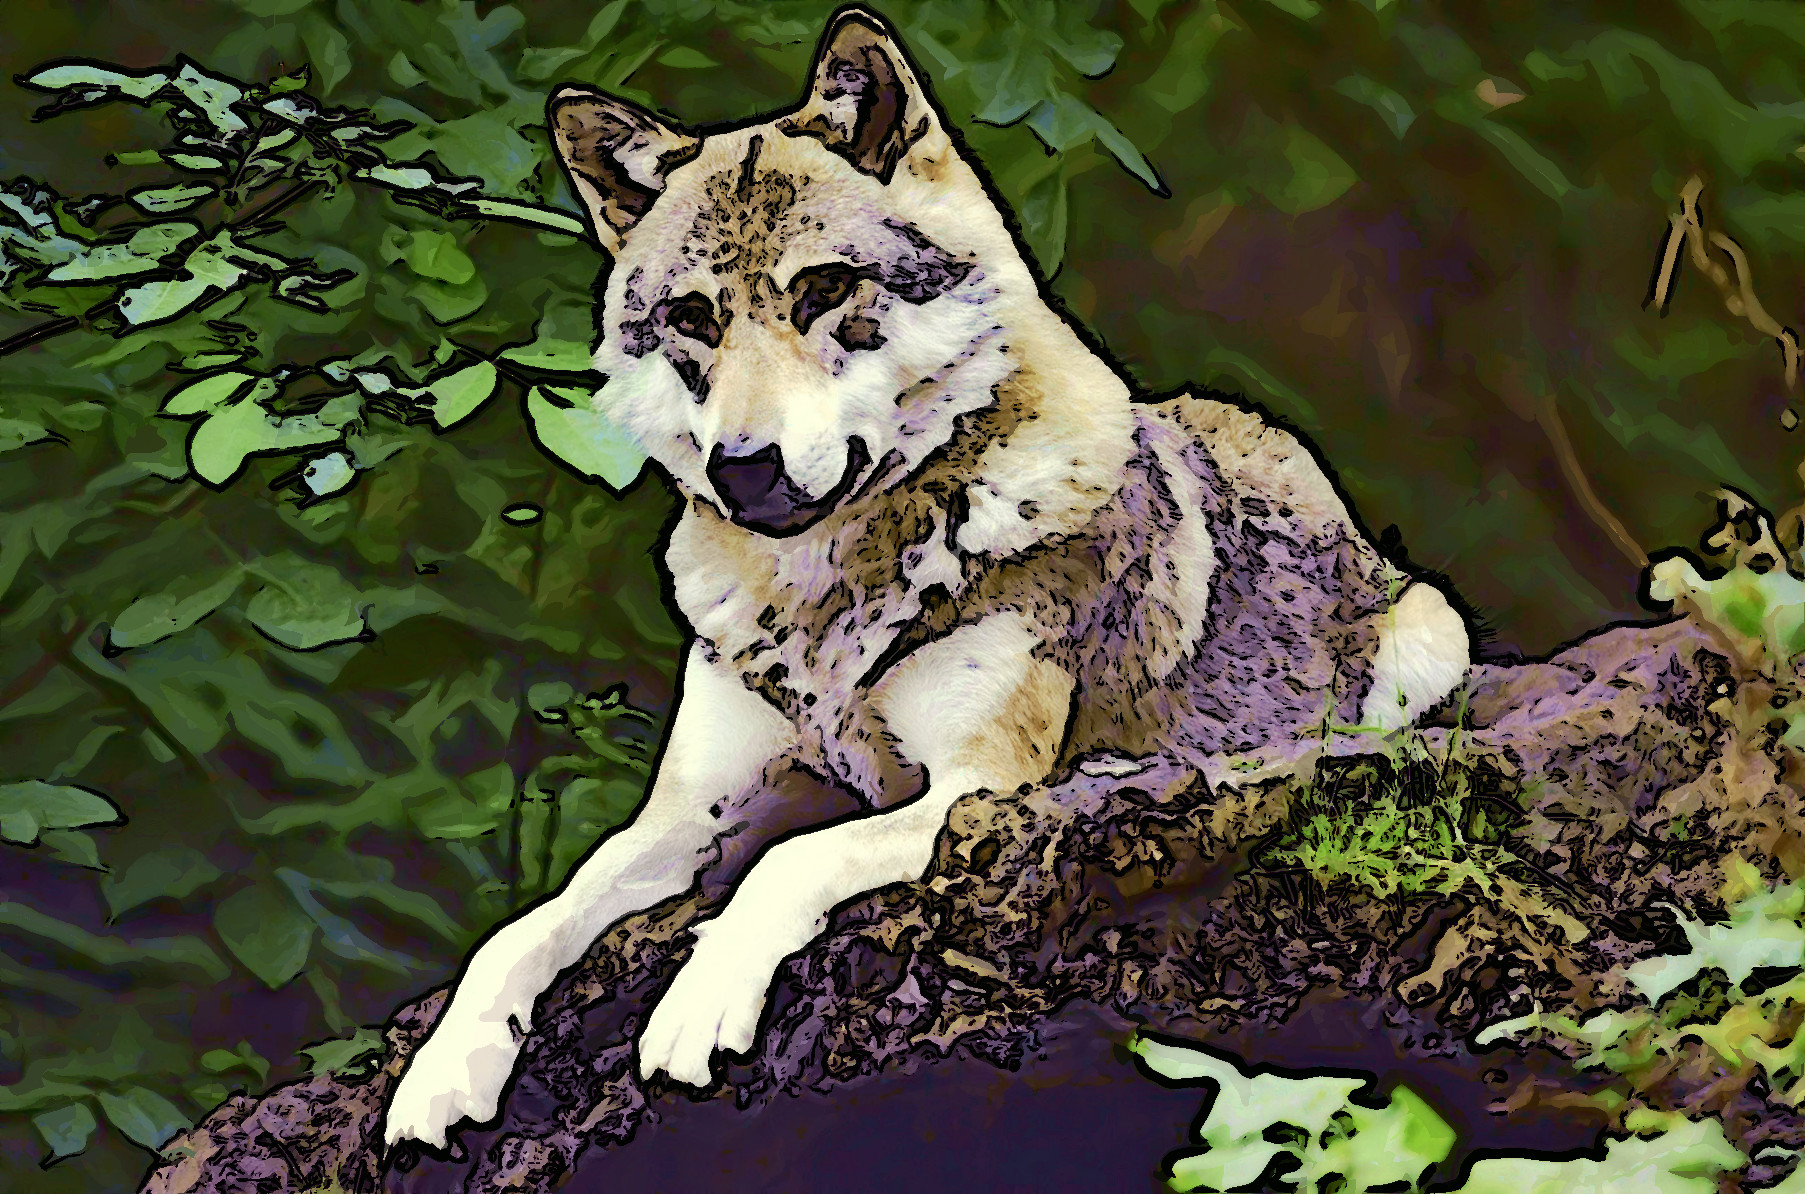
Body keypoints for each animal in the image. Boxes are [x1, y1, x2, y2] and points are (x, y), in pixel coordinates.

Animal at [381, 5, 1470, 1151]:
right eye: (691, 320)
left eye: (821, 290)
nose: (741, 468)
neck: (821, 601)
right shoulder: (685, 816)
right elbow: (525, 925)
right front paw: (443, 1070)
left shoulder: (968, 790)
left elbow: (787, 862)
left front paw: (696, 1005)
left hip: (1426, 642)